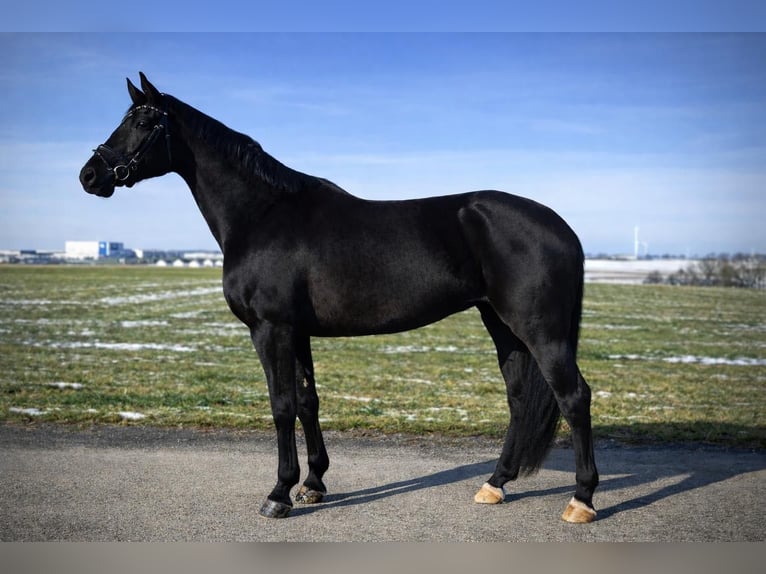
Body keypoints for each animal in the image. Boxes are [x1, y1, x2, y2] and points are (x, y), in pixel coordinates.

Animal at [79, 73, 598, 523]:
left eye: (143, 122)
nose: (90, 175)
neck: (263, 214)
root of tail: (563, 227)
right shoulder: (298, 331)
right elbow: (308, 401)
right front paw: (313, 484)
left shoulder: (270, 329)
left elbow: (281, 405)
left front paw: (278, 494)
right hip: (502, 325)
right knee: (519, 398)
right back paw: (495, 483)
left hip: (539, 330)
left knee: (574, 396)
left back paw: (582, 500)